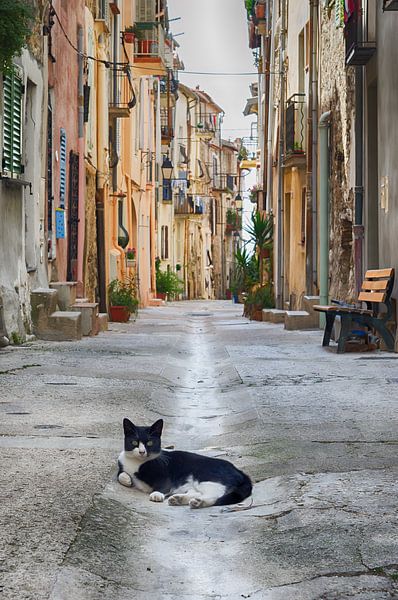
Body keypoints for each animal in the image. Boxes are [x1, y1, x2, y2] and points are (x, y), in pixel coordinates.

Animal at [116, 420, 252, 508]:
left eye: (150, 443)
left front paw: (156, 494)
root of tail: (240, 472)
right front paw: (127, 479)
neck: (137, 462)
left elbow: (163, 485)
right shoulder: (122, 464)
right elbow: (120, 475)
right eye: (134, 442)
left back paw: (198, 502)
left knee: (215, 494)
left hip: (205, 476)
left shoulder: (164, 474)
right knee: (197, 492)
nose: (142, 451)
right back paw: (179, 499)